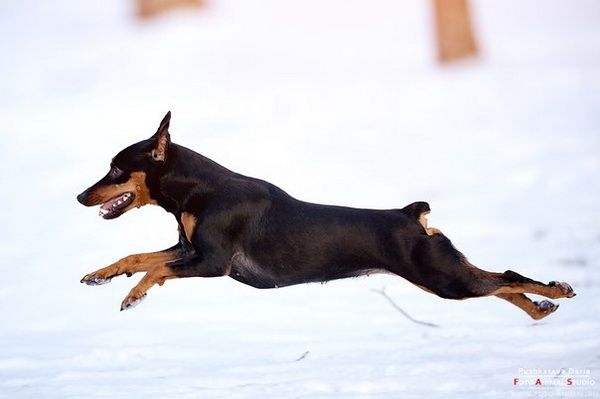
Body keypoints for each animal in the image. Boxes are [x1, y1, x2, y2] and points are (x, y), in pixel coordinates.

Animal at [77, 112, 576, 318]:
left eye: (116, 169)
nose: (81, 196)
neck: (202, 191)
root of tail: (412, 216)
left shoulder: (212, 264)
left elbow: (154, 269)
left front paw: (133, 296)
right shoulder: (188, 251)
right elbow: (138, 257)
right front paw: (101, 275)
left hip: (442, 278)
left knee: (506, 278)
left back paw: (557, 291)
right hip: (443, 274)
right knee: (502, 285)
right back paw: (541, 309)